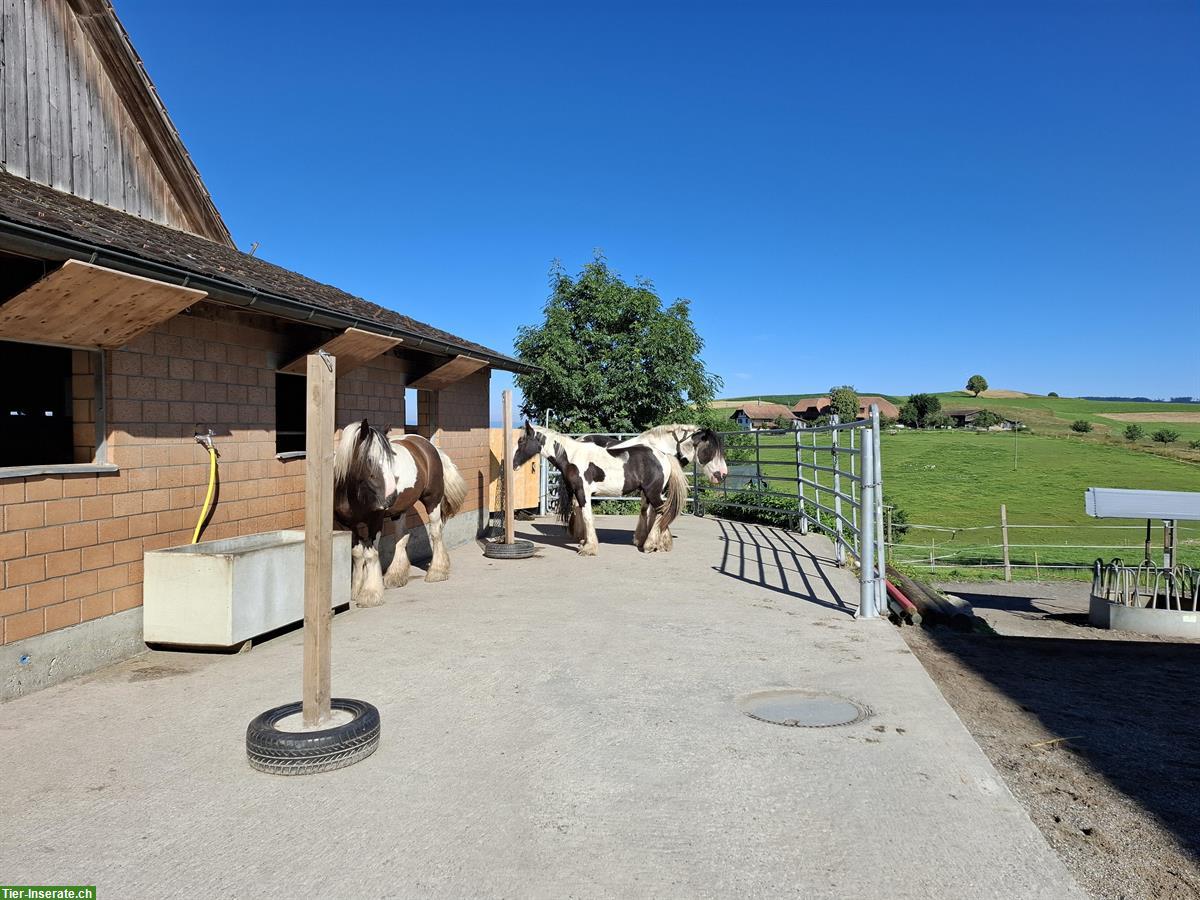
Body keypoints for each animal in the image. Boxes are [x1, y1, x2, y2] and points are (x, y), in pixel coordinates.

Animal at [334, 420, 468, 607]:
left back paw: (437, 572)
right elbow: (358, 553)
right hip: (400, 510)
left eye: (390, 460)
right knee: (402, 537)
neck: (352, 493)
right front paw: (357, 589)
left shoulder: (375, 521)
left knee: (436, 533)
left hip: (432, 501)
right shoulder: (347, 524)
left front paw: (370, 593)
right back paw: (396, 575)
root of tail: (429, 446)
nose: (390, 496)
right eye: (369, 459)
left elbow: (370, 554)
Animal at [512, 423, 688, 556]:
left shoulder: (583, 492)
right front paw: (585, 543)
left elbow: (587, 517)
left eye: (521, 441)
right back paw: (661, 544)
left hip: (653, 492)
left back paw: (650, 545)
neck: (572, 457)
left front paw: (588, 548)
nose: (513, 465)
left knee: (661, 512)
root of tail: (663, 455)